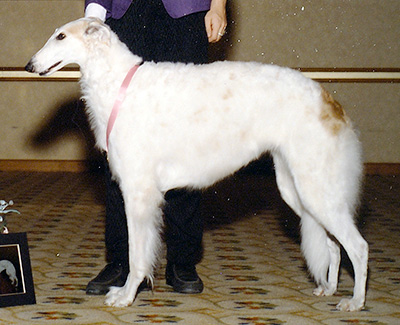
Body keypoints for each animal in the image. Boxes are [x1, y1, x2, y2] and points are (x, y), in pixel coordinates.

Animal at [25, 18, 368, 312]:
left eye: (61, 36)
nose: (30, 65)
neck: (119, 83)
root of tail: (329, 99)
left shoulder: (138, 194)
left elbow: (137, 256)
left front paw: (125, 296)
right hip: (296, 189)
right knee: (334, 246)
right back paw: (329, 288)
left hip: (315, 188)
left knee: (358, 247)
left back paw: (355, 301)